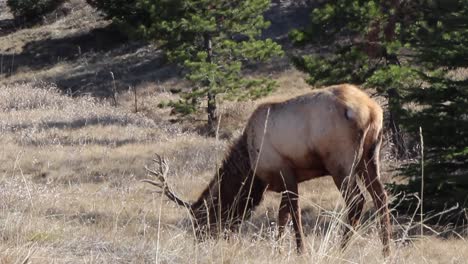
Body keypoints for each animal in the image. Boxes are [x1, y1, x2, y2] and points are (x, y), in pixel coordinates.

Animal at [144, 84, 392, 256]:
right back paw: (386, 251)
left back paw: (340, 249)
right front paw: (279, 250)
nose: (199, 243)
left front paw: (301, 251)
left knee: (357, 201)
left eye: (201, 219)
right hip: (370, 157)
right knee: (381, 197)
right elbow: (282, 217)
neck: (251, 169)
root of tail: (373, 111)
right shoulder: (284, 180)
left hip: (340, 162)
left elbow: (294, 214)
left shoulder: (285, 171)